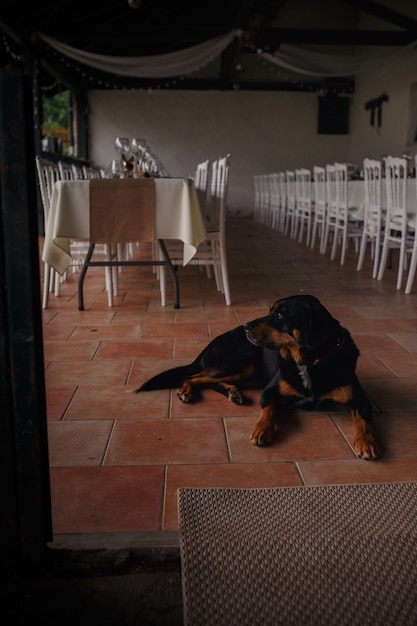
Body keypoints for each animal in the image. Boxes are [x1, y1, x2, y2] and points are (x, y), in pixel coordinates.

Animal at [136, 292, 380, 458]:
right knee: (194, 377)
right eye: (270, 310)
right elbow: (267, 410)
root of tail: (209, 346)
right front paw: (262, 430)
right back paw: (187, 390)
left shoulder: (361, 400)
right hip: (238, 362)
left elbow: (363, 422)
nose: (246, 325)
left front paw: (366, 443)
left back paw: (233, 392)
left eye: (280, 315)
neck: (308, 363)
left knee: (210, 381)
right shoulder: (270, 390)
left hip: (247, 373)